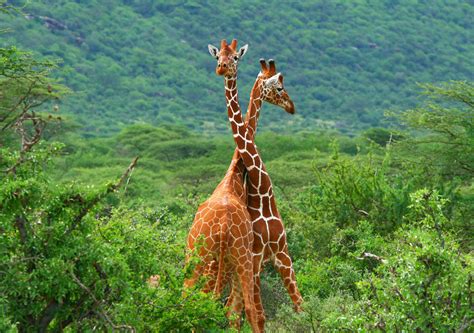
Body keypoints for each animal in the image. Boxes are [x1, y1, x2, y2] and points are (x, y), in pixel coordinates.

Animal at [208, 39, 304, 330]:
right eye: (280, 87)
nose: (292, 106)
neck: (262, 196)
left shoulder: (279, 253)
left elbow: (299, 305)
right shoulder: (262, 257)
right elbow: (267, 313)